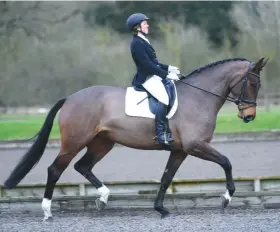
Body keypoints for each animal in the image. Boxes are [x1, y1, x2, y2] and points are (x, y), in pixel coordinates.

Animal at [3, 56, 268, 219]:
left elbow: (166, 177)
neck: (199, 97)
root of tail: (70, 98)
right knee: (55, 170)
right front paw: (226, 198)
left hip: (103, 143)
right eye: (253, 84)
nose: (249, 117)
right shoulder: (195, 146)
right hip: (74, 142)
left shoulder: (180, 150)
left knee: (83, 166)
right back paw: (47, 211)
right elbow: (226, 162)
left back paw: (103, 198)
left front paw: (160, 209)